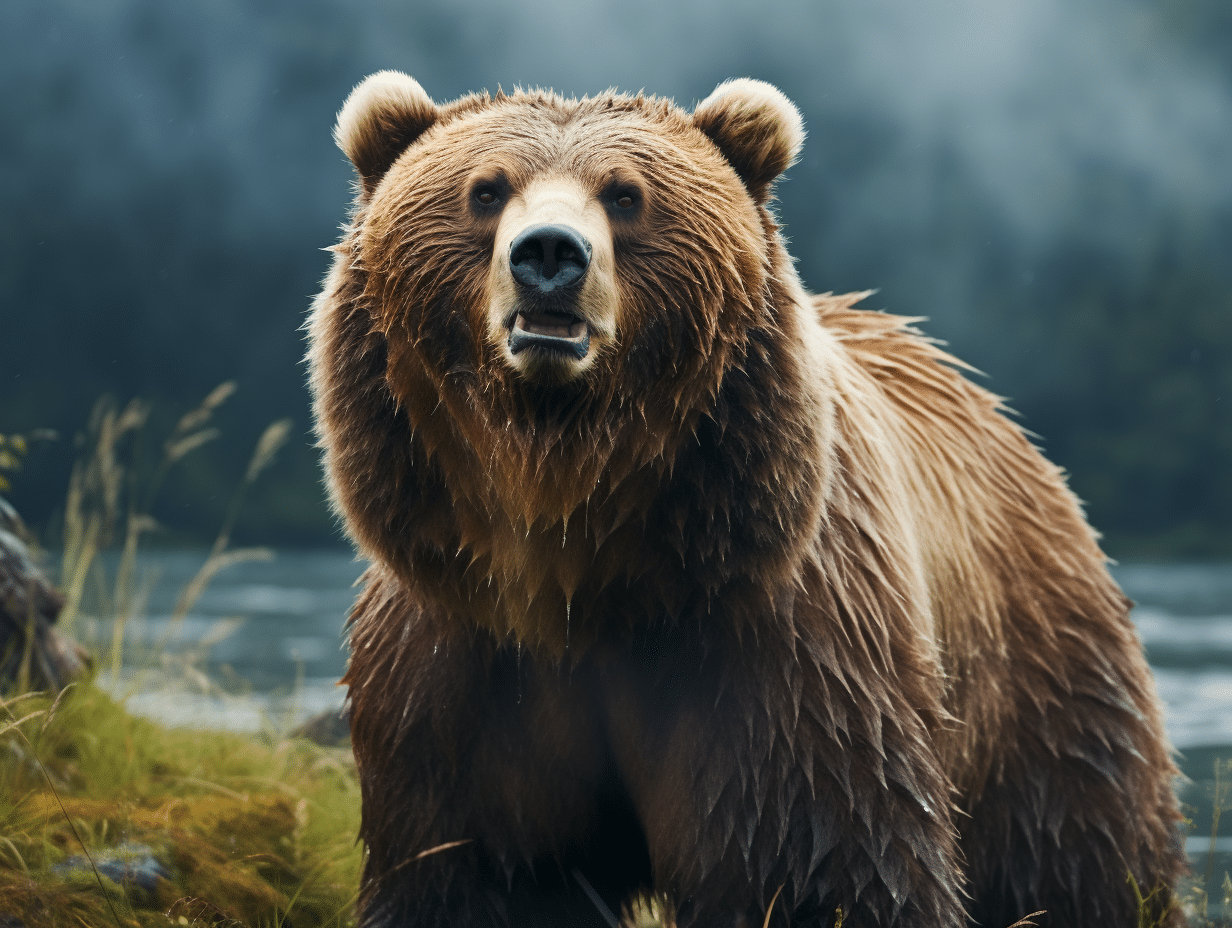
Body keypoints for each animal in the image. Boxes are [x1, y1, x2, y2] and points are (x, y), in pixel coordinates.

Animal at [306, 71, 1187, 928]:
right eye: (486, 189)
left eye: (625, 194)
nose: (549, 253)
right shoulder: (461, 659)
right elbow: (476, 873)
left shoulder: (783, 648)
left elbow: (818, 867)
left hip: (1033, 675)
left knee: (1076, 855)